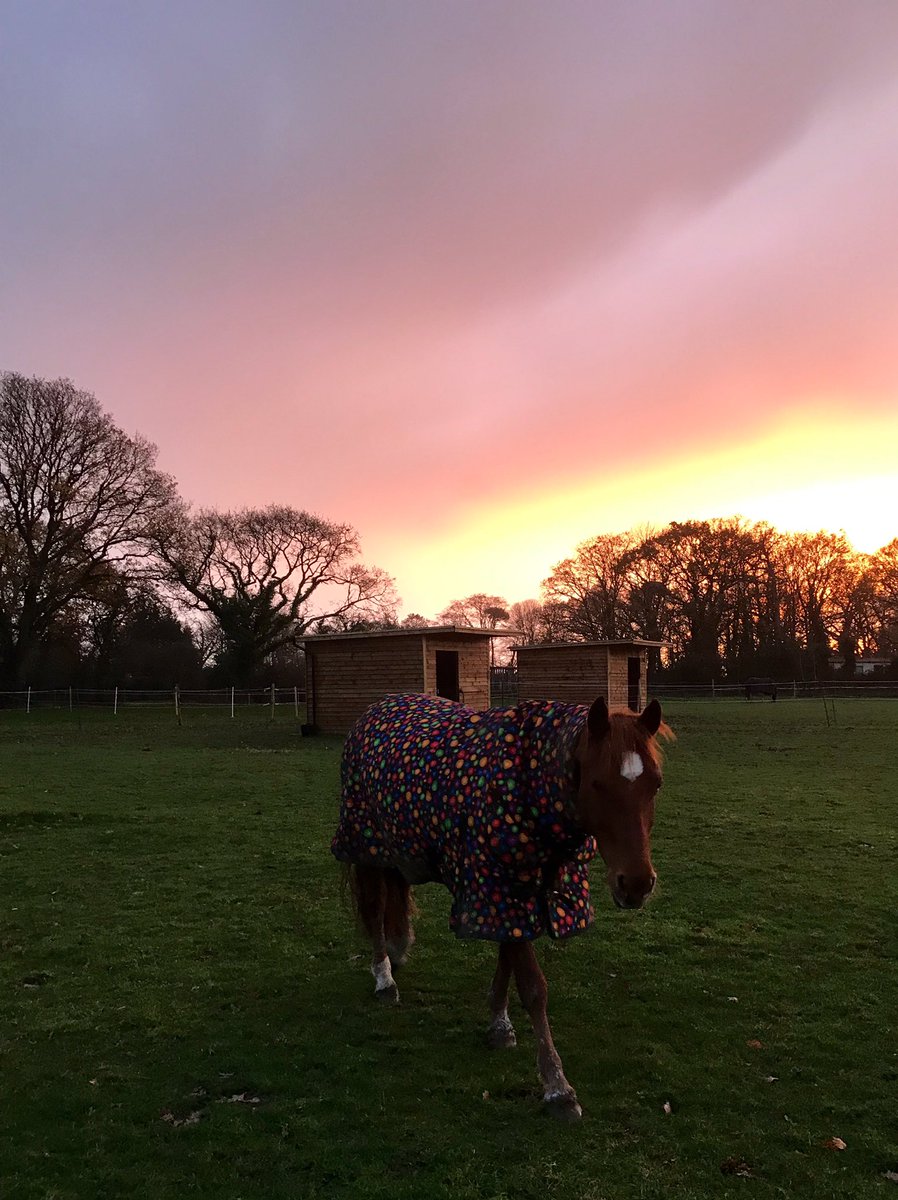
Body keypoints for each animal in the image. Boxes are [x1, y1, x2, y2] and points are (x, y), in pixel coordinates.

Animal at [333, 691, 672, 1118]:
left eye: (655, 784)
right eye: (598, 783)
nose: (637, 883)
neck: (526, 789)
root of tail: (376, 708)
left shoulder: (511, 894)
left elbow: (508, 958)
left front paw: (499, 1024)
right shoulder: (498, 886)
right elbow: (532, 985)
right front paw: (557, 1087)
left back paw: (398, 948)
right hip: (367, 845)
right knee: (376, 909)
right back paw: (383, 977)